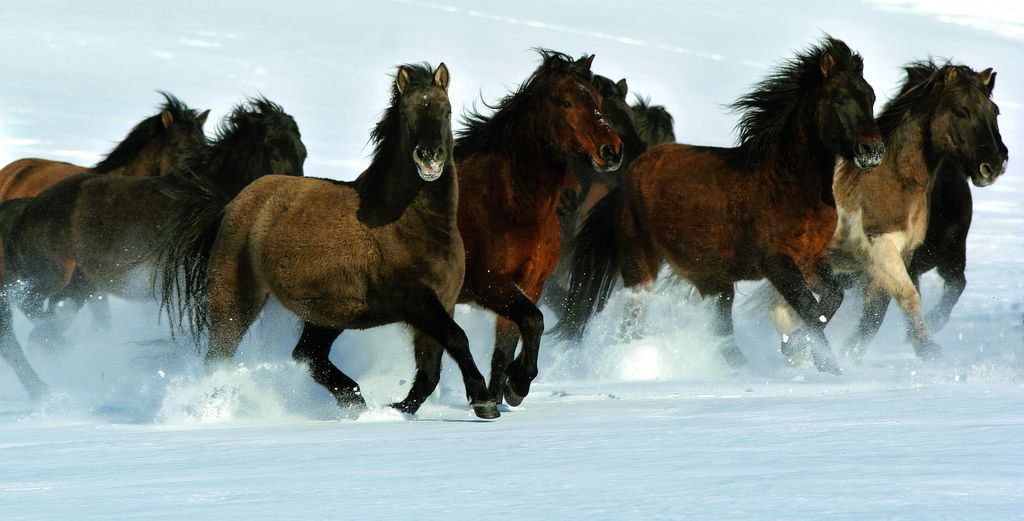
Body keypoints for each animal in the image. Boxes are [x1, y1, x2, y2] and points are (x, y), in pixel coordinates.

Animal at [163, 63, 500, 419]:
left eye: (446, 110)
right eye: (406, 113)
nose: (429, 158)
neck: (409, 224)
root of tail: (234, 203)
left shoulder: (440, 304)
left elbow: (429, 375)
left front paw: (395, 409)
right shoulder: (417, 301)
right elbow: (457, 339)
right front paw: (485, 401)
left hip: (326, 315)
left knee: (308, 355)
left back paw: (354, 401)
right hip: (235, 298)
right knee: (220, 358)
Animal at [554, 37, 884, 374]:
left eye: (870, 96)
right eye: (839, 97)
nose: (872, 151)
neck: (788, 182)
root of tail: (628, 176)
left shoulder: (810, 257)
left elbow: (832, 299)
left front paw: (797, 350)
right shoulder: (777, 262)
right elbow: (810, 308)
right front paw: (815, 360)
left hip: (713, 281)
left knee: (722, 333)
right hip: (641, 266)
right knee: (632, 325)